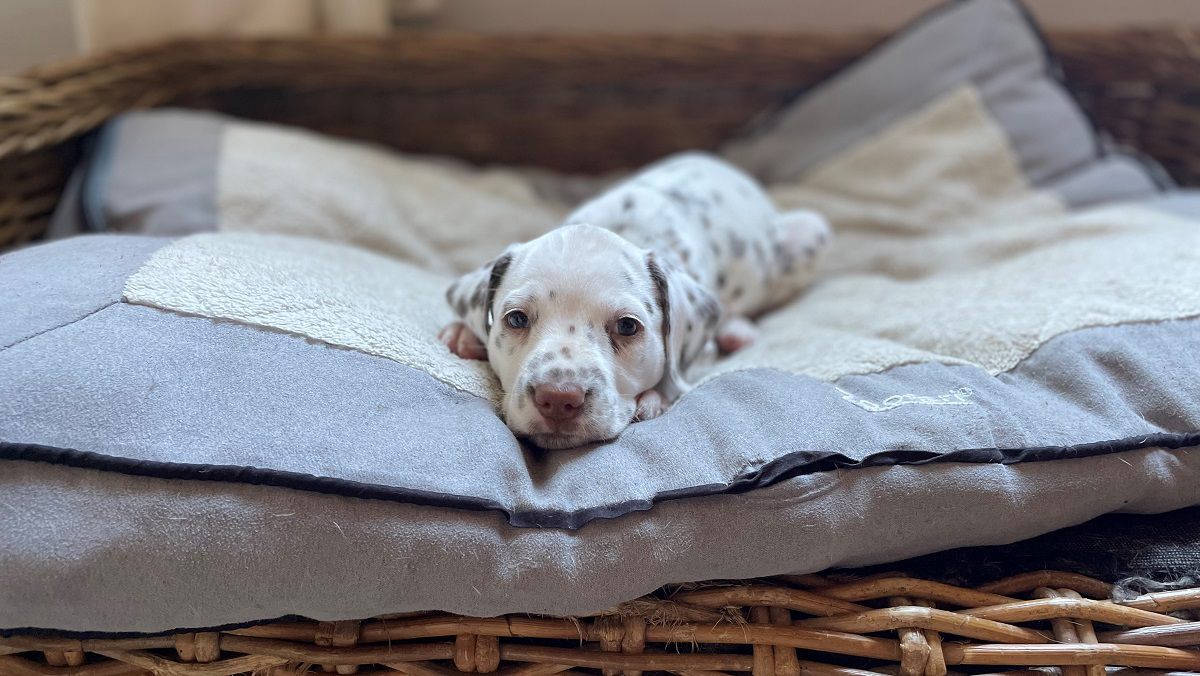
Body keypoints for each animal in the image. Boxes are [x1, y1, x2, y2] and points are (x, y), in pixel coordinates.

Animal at [444, 152, 835, 449]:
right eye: (516, 319)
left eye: (627, 326)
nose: (557, 398)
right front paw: (465, 333)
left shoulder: (699, 347)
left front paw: (653, 399)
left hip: (808, 233)